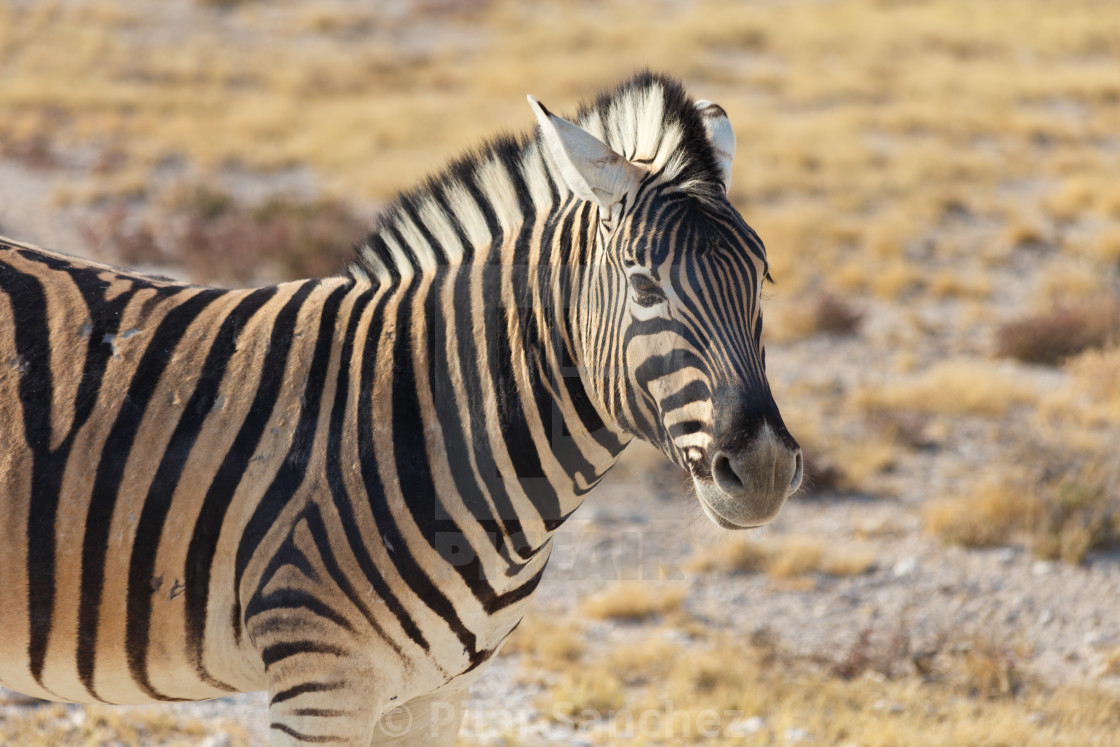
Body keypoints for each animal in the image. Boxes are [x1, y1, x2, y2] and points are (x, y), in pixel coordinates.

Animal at [2, 71, 806, 747]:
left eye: (763, 278)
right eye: (643, 286)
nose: (765, 468)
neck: (424, 419)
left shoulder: (432, 694)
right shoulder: (321, 685)